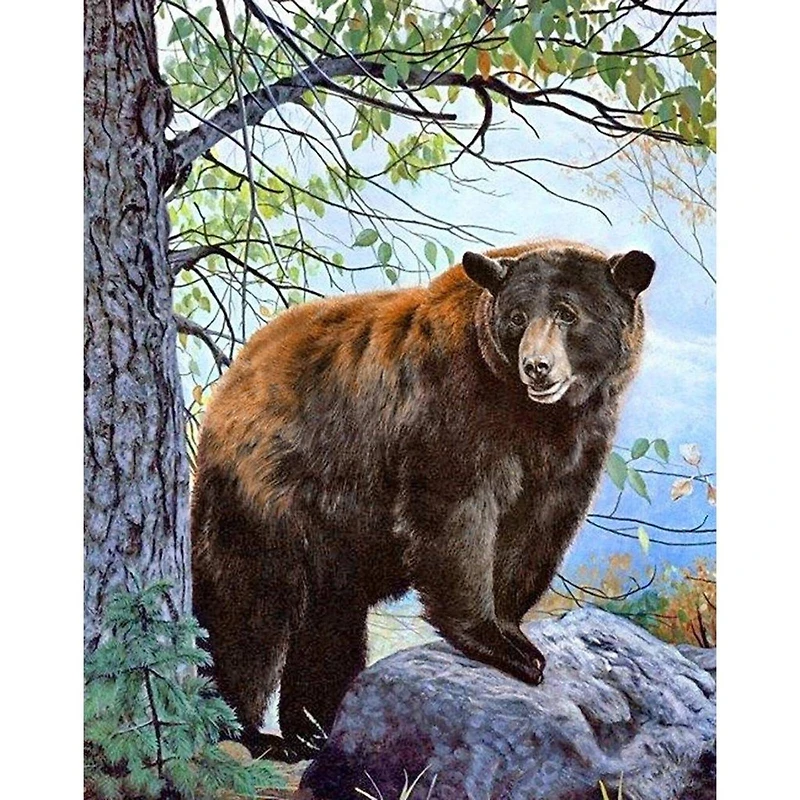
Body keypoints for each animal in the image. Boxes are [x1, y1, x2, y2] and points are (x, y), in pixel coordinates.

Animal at [190, 239, 655, 762]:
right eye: (517, 317)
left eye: (567, 313)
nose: (537, 367)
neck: (534, 415)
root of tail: (231, 380)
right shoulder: (453, 404)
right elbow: (453, 511)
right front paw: (497, 644)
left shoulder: (577, 443)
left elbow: (537, 528)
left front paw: (515, 632)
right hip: (267, 491)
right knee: (247, 609)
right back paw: (248, 731)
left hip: (334, 532)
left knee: (329, 621)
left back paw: (313, 727)